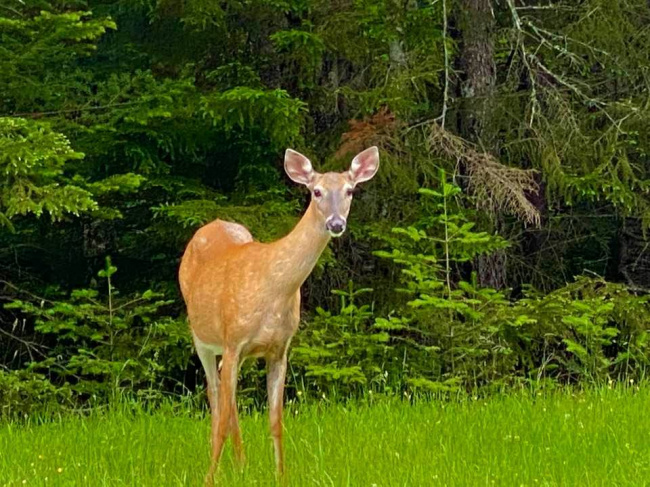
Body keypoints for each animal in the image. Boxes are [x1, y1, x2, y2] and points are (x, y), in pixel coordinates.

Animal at [177, 147, 380, 482]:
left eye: (350, 190)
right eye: (316, 191)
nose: (336, 224)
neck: (274, 289)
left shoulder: (279, 349)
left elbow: (276, 421)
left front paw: (280, 476)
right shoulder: (234, 340)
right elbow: (223, 415)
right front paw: (209, 478)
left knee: (228, 400)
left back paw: (241, 465)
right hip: (202, 336)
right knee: (215, 395)